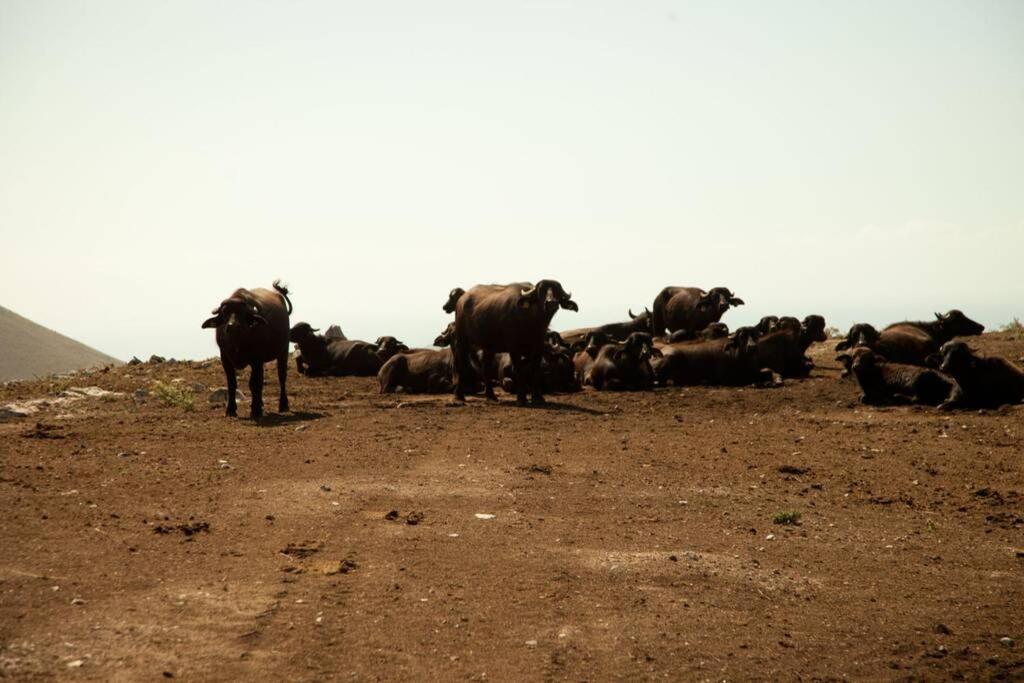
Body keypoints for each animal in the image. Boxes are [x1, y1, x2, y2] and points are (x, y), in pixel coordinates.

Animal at [201, 280, 292, 419]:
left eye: (243, 313)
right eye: (225, 313)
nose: (233, 326)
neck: (238, 342)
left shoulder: (257, 359)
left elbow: (254, 383)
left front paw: (255, 410)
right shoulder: (225, 358)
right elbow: (232, 383)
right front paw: (230, 410)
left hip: (283, 350)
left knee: (281, 376)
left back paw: (283, 405)